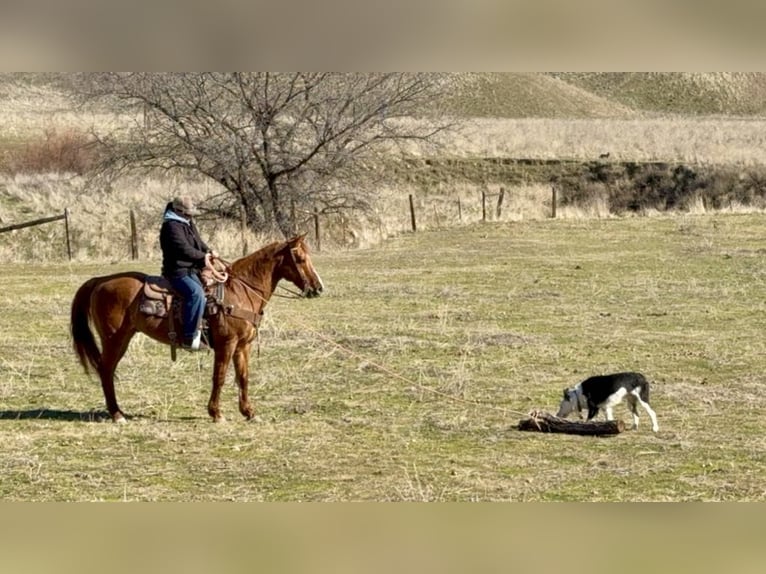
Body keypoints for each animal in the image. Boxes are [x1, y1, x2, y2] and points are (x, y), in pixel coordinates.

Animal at [70, 234, 324, 423]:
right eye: (300, 258)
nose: (318, 288)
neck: (240, 292)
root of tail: (100, 281)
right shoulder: (227, 344)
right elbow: (219, 377)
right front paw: (216, 413)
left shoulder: (243, 346)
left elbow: (243, 377)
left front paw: (249, 412)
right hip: (114, 339)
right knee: (106, 371)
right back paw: (117, 414)